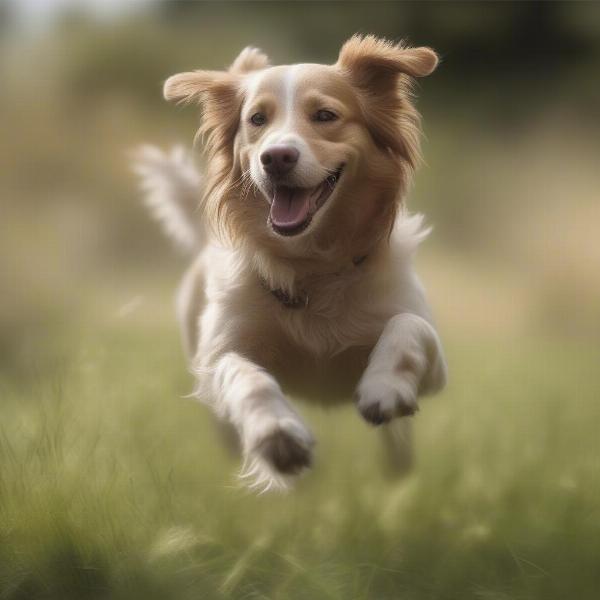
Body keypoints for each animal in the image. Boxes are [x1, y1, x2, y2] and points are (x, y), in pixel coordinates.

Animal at [135, 35, 446, 490]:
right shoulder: (220, 356)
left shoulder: (433, 361)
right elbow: (246, 377)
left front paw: (385, 386)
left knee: (398, 450)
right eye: (257, 119)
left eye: (325, 115)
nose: (276, 158)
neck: (310, 265)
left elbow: (409, 328)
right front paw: (276, 434)